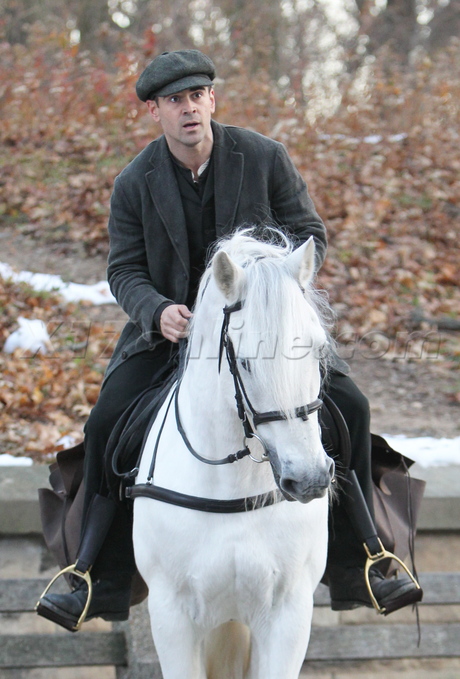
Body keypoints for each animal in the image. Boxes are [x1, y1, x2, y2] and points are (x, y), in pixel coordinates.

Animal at [131, 229, 335, 679]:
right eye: (245, 361)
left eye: (318, 350)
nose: (309, 479)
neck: (231, 487)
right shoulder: (171, 616)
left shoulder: (289, 614)